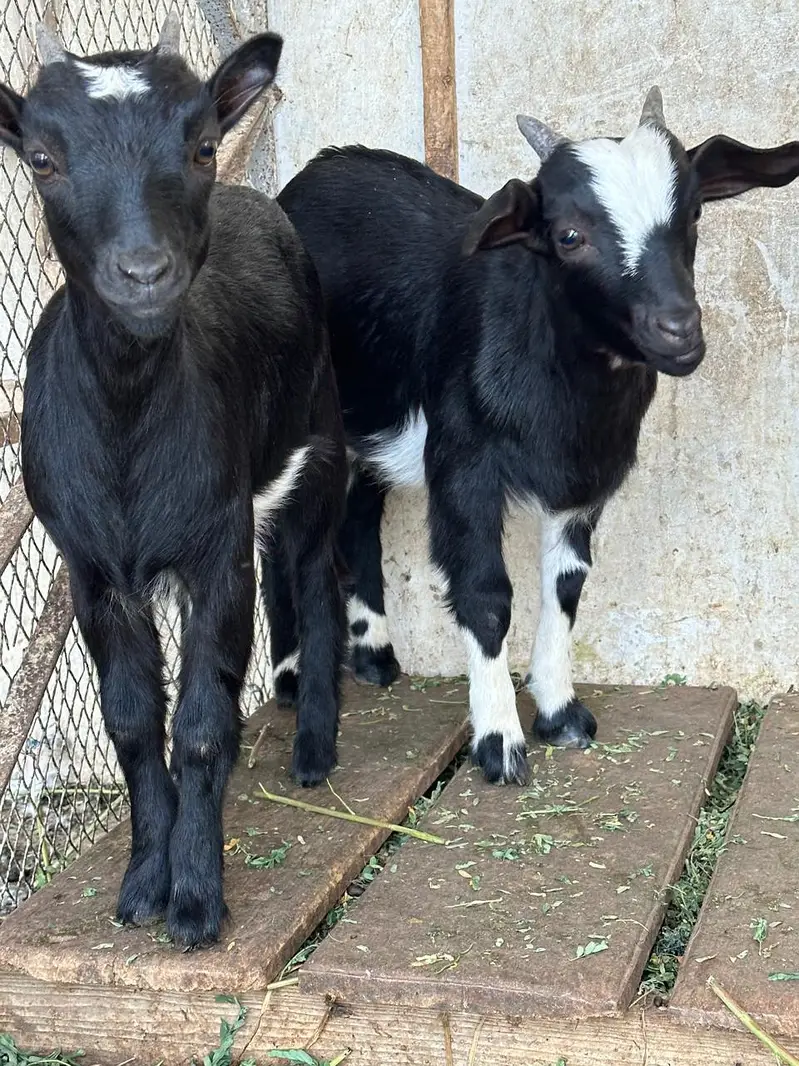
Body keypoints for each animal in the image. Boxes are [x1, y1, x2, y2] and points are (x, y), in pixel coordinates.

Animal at [0, 15, 347, 946]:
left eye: (200, 146)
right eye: (41, 158)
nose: (145, 273)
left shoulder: (214, 549)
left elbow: (196, 725)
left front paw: (194, 901)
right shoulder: (88, 569)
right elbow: (130, 723)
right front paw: (139, 887)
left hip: (317, 445)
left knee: (317, 579)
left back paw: (314, 750)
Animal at [278, 89, 799, 786]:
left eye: (691, 215)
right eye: (569, 236)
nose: (679, 330)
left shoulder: (586, 479)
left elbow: (566, 586)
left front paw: (559, 713)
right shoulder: (463, 468)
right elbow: (486, 594)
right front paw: (499, 740)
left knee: (360, 512)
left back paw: (375, 652)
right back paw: (289, 679)